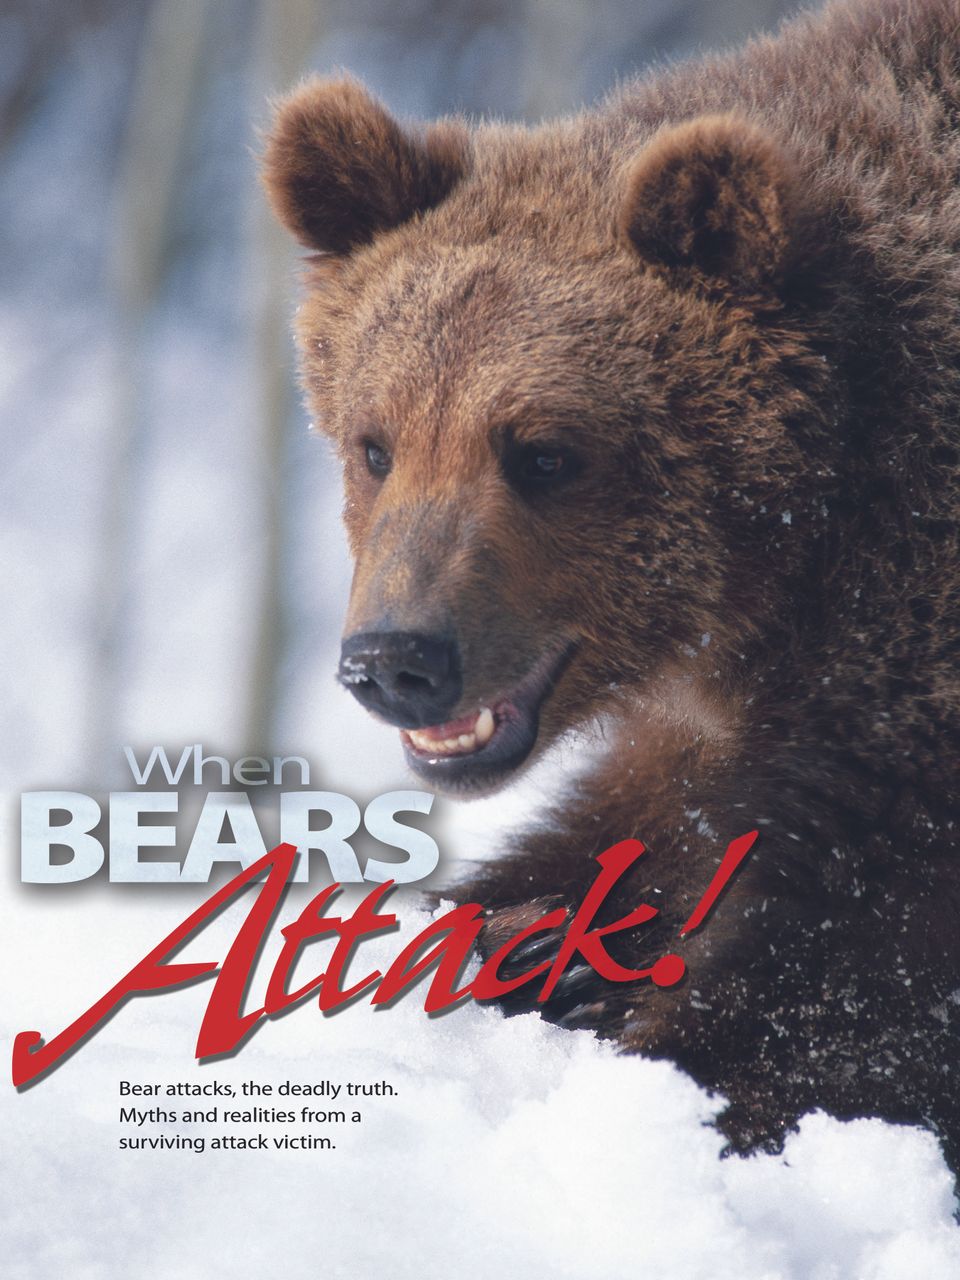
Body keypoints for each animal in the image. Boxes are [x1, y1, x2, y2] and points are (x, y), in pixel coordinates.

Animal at [262, 0, 960, 1186]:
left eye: (544, 452)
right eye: (375, 443)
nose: (396, 660)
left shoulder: (902, 684)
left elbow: (853, 974)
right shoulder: (694, 729)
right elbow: (622, 838)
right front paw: (528, 939)